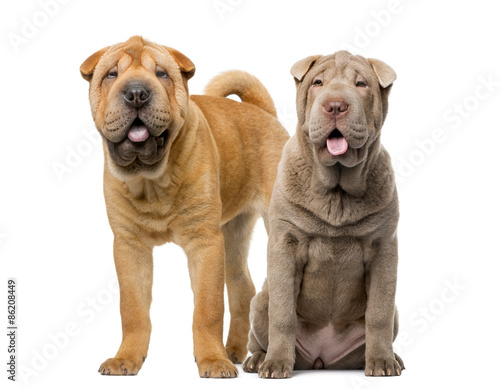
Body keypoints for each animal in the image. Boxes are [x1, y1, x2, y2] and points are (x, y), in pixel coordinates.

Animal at [79, 35, 290, 376]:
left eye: (162, 74)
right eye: (111, 74)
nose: (136, 93)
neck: (152, 181)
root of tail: (262, 111)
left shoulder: (205, 243)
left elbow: (208, 309)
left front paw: (212, 361)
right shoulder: (129, 246)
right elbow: (133, 310)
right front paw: (126, 359)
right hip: (233, 232)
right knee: (243, 287)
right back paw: (234, 350)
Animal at [244, 50, 404, 376]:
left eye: (361, 84)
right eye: (318, 82)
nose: (335, 105)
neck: (337, 192)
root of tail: (322, 358)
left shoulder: (383, 247)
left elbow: (378, 312)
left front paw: (382, 362)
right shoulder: (285, 244)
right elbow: (283, 314)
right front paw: (276, 364)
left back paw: (391, 357)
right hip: (260, 301)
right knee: (261, 327)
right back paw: (258, 360)